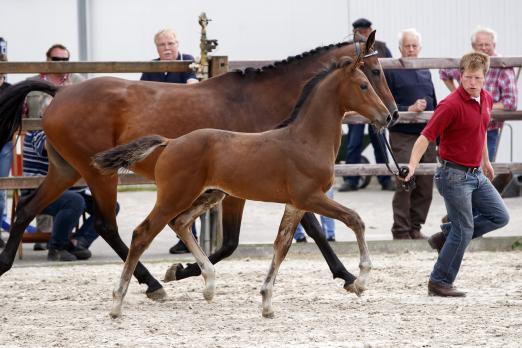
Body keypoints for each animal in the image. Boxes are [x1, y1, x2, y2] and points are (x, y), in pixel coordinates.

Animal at [94, 53, 390, 318]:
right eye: (364, 84)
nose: (388, 116)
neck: (306, 140)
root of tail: (171, 142)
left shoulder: (295, 205)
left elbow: (281, 245)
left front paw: (267, 302)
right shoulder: (311, 197)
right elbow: (355, 219)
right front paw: (360, 280)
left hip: (210, 195)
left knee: (181, 223)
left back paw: (208, 284)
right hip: (175, 197)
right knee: (142, 233)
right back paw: (120, 302)